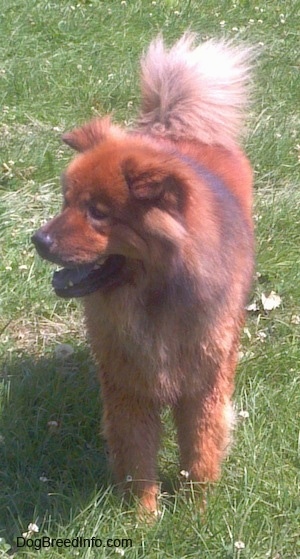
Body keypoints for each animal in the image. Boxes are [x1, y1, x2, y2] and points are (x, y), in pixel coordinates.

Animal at [32, 34, 253, 516]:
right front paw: (142, 518)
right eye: (66, 201)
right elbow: (136, 456)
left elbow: (200, 448)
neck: (154, 303)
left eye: (97, 212)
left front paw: (197, 512)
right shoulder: (129, 384)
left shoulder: (202, 383)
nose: (38, 239)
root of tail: (175, 127)